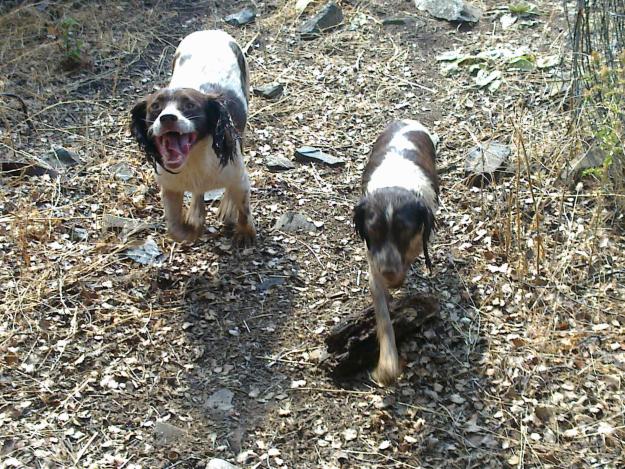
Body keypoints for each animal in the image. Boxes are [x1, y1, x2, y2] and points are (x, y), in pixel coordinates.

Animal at [129, 29, 256, 247]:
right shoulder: (170, 187)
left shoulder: (238, 176)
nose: (167, 118)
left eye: (190, 106)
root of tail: (210, 30)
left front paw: (244, 231)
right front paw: (193, 228)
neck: (195, 159)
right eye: (155, 107)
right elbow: (174, 228)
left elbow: (244, 208)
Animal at [354, 119, 436, 386]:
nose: (388, 271)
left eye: (404, 231)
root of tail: (407, 120)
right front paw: (387, 366)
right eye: (373, 230)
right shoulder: (373, 263)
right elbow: (383, 316)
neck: (396, 183)